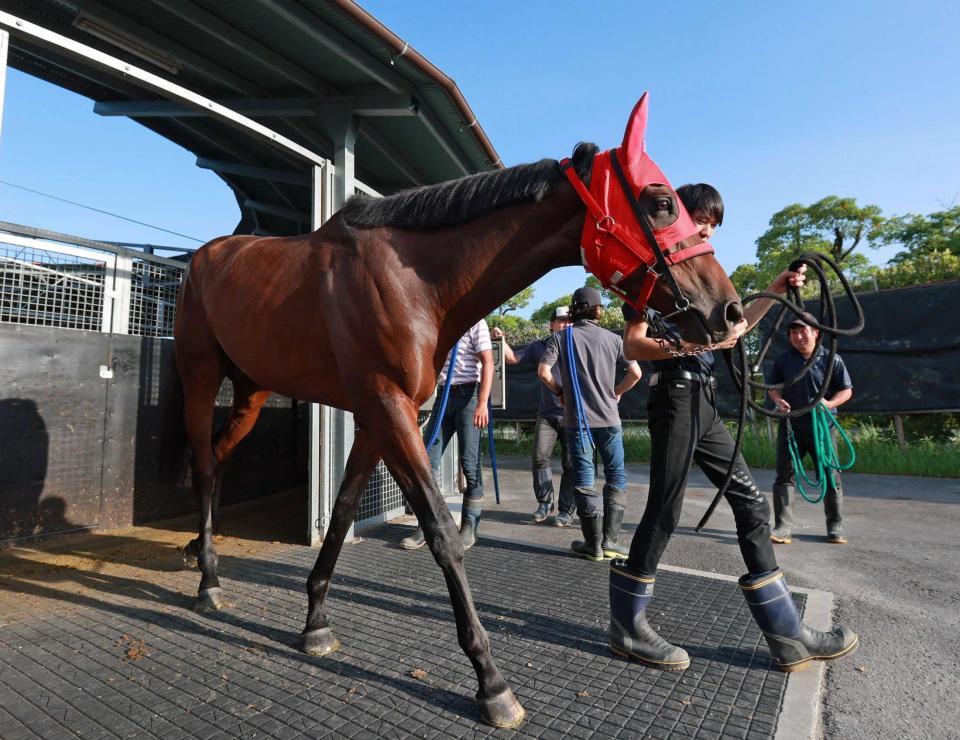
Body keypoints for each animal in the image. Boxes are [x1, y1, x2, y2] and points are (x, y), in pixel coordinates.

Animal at [159, 94, 744, 728]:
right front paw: (492, 682)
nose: (729, 312)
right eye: (661, 203)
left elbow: (342, 512)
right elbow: (440, 530)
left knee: (217, 458)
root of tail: (204, 259)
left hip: (252, 391)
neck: (414, 279)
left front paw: (315, 622)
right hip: (201, 376)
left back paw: (197, 553)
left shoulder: (379, 416)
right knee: (206, 464)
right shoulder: (389, 411)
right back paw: (209, 580)